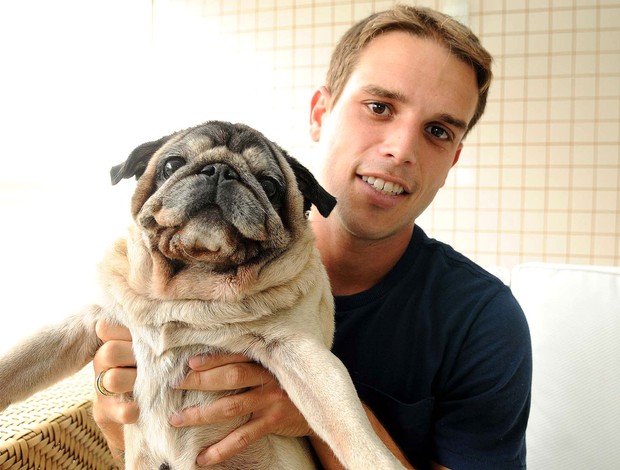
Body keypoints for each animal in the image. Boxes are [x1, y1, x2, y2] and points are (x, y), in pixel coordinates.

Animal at [0, 122, 402, 470]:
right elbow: (20, 360)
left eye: (270, 185)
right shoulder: (93, 319)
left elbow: (350, 428)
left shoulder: (302, 354)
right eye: (172, 165)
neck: (188, 290)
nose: (220, 171)